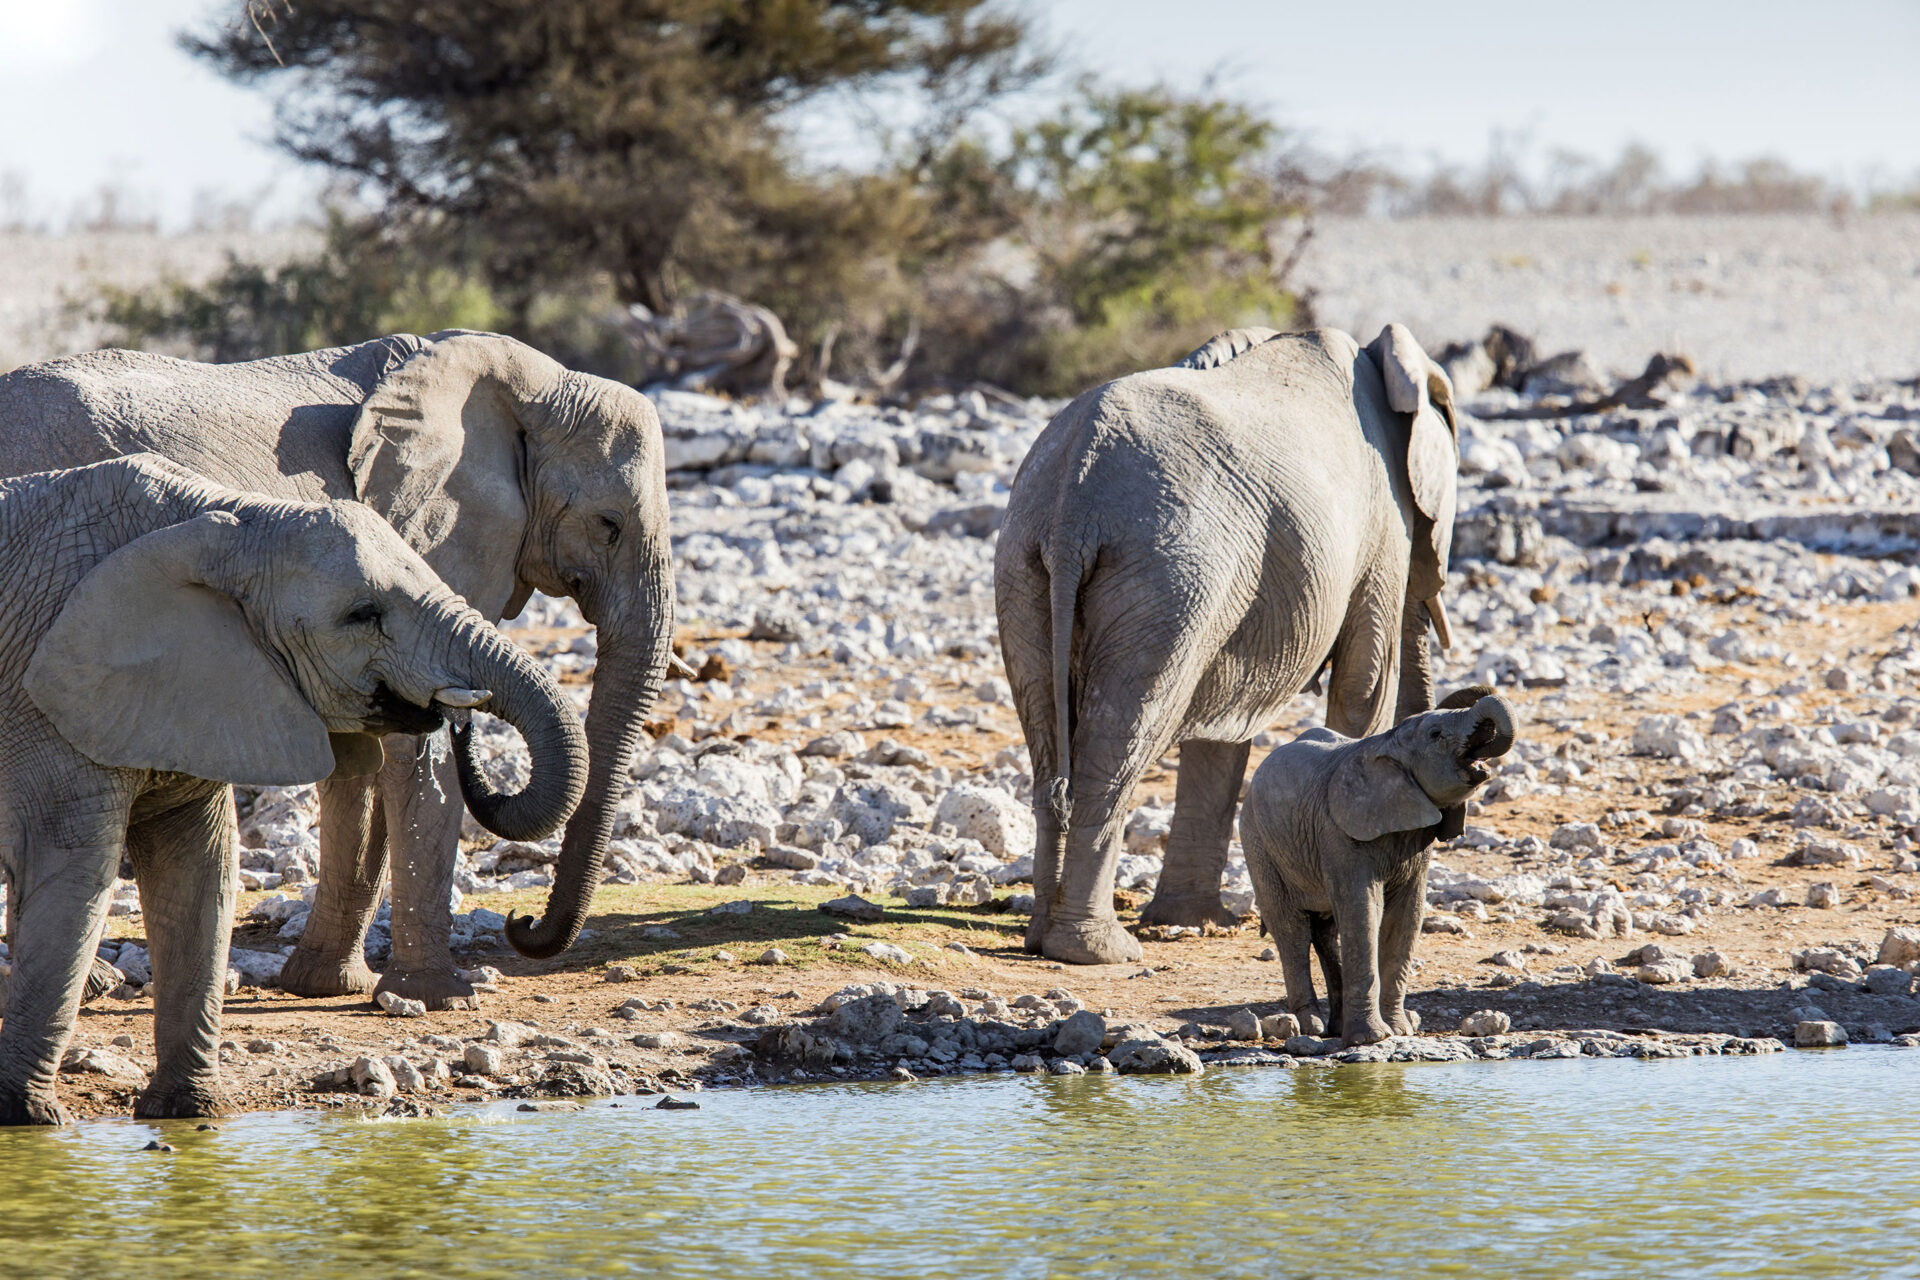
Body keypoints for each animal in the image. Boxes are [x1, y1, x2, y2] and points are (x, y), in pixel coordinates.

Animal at [0, 331, 674, 1008]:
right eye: (609, 526)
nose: (522, 922)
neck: (532, 381)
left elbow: (366, 759)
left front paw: (328, 985)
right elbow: (410, 758)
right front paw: (438, 997)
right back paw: (93, 986)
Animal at [0, 454, 589, 1124]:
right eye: (363, 615)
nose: (459, 719)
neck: (228, 521)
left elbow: (200, 871)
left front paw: (191, 1112)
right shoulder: (45, 706)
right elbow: (74, 876)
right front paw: (30, 1123)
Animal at [995, 324, 1460, 965]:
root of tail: (1073, 505)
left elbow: (1224, 720)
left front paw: (1194, 921)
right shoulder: (1383, 522)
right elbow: (1364, 685)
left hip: (1030, 563)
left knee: (1049, 742)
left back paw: (1043, 938)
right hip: (1170, 576)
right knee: (1122, 738)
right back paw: (1098, 952)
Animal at [1239, 687, 1515, 1045]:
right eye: (1436, 734)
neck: (1389, 744)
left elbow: (1406, 915)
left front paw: (1400, 1031)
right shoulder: (1340, 832)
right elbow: (1364, 909)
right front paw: (1371, 1039)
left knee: (1328, 932)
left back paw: (1336, 1028)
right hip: (1257, 840)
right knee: (1292, 930)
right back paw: (1311, 1028)